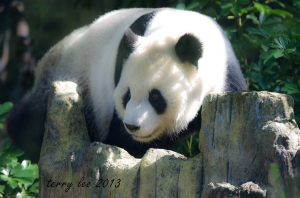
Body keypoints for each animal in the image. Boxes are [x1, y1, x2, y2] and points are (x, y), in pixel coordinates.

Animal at [7, 8, 247, 162]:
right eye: (127, 95)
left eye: (155, 97)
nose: (133, 126)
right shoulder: (119, 69)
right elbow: (120, 141)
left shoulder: (226, 77)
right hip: (70, 76)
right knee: (30, 123)